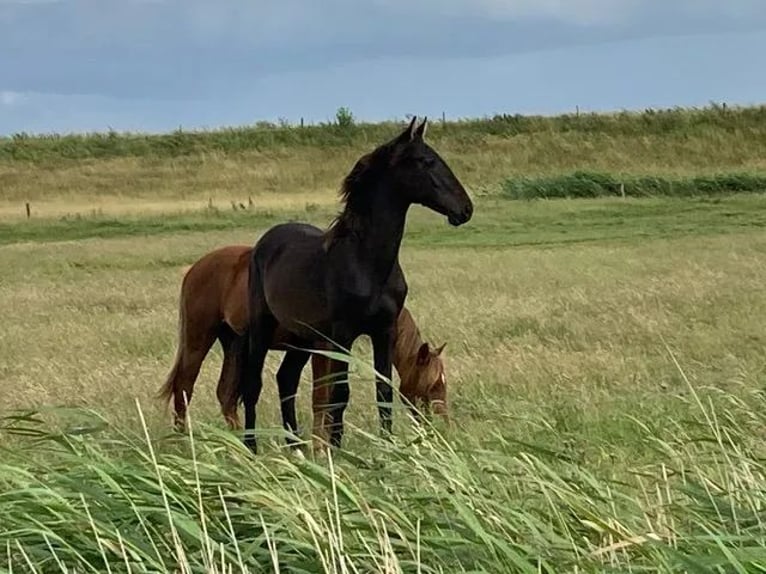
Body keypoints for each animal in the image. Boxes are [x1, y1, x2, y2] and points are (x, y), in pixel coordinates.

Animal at [159, 243, 452, 450]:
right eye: (431, 385)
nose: (442, 427)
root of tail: (196, 268)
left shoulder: (302, 350)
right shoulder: (320, 347)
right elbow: (322, 395)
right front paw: (321, 446)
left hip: (232, 341)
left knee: (226, 394)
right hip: (199, 337)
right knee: (184, 386)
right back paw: (184, 444)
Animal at [242, 113, 474, 454]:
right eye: (426, 161)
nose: (465, 209)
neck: (367, 263)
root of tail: (265, 243)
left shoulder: (383, 331)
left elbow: (383, 390)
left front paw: (388, 446)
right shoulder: (343, 335)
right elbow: (340, 394)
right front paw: (338, 450)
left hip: (302, 336)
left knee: (286, 380)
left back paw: (295, 447)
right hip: (263, 327)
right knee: (252, 384)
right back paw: (251, 447)